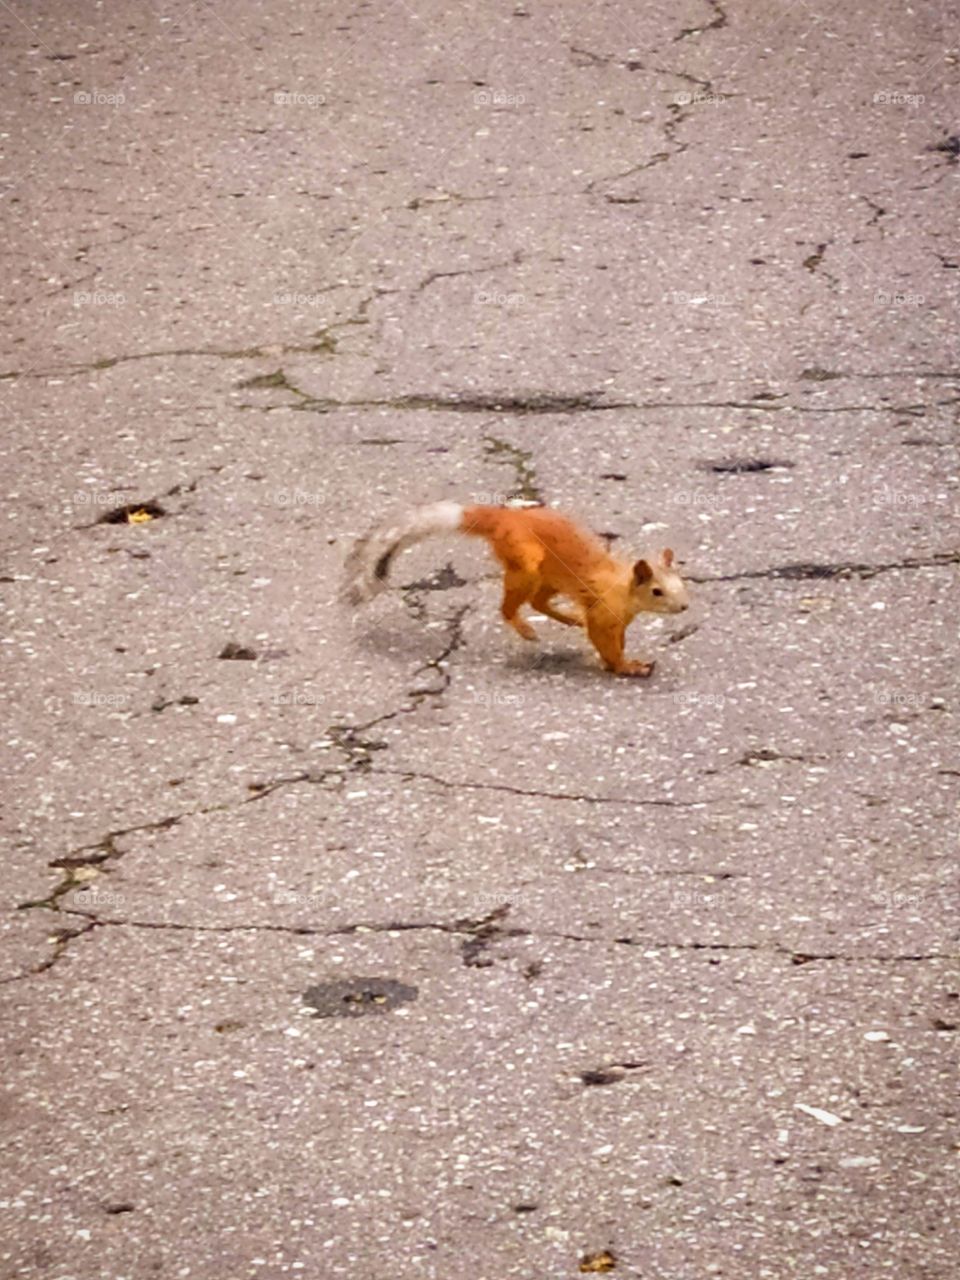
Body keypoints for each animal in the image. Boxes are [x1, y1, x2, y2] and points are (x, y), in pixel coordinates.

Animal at [341, 501, 689, 677]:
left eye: (682, 584)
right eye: (657, 591)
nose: (684, 607)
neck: (622, 587)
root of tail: (503, 517)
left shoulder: (617, 617)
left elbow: (616, 639)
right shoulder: (604, 612)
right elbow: (605, 642)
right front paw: (625, 666)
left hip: (546, 578)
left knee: (538, 603)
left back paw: (567, 618)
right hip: (526, 563)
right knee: (511, 607)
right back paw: (525, 629)